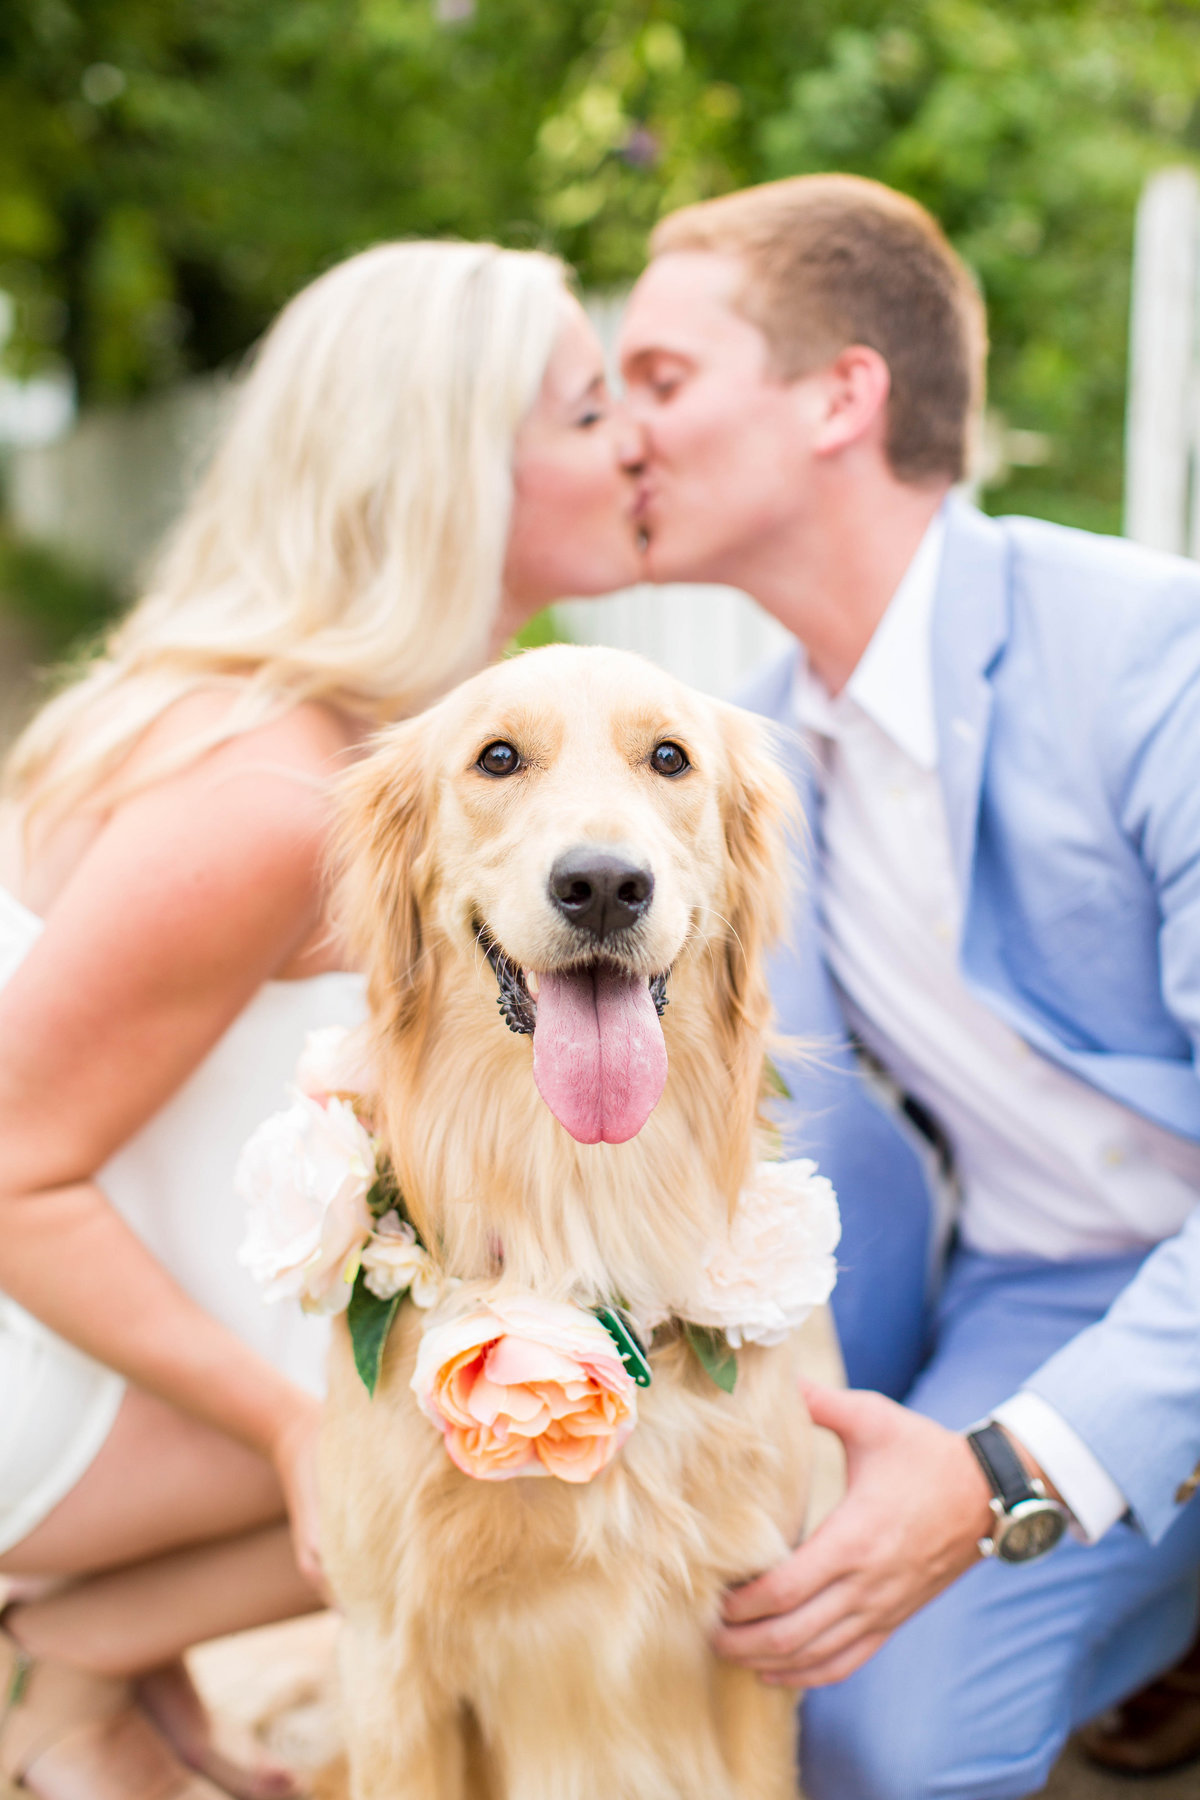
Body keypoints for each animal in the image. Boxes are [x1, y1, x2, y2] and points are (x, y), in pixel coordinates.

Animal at [318, 648, 816, 1800]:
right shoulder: (392, 1667)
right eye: (497, 758)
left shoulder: (753, 1628)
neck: (580, 1195)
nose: (602, 886)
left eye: (670, 758)